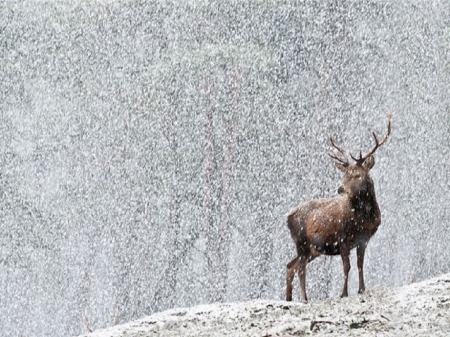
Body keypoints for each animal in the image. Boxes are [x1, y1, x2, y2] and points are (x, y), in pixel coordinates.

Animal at [288, 113, 390, 302]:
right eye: (344, 175)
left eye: (357, 175)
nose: (340, 189)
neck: (363, 219)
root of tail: (287, 217)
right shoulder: (341, 237)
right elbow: (346, 266)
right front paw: (343, 293)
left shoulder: (363, 239)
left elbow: (359, 264)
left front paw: (362, 289)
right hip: (301, 242)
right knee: (300, 268)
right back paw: (304, 299)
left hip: (313, 249)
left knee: (290, 265)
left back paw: (289, 298)